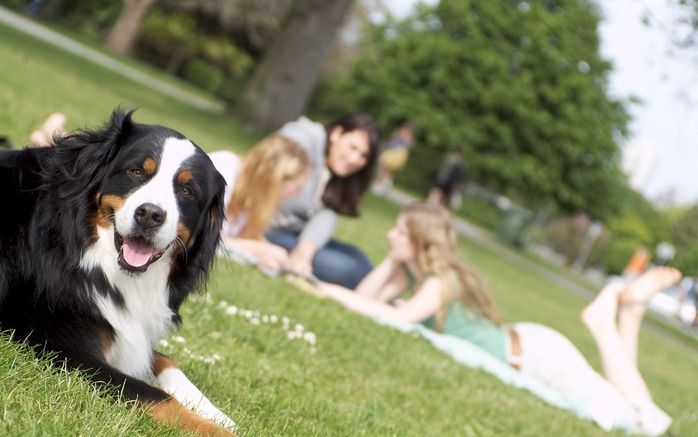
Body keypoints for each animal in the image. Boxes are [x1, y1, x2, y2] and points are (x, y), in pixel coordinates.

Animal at [0, 110, 237, 434]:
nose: (150, 214)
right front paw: (217, 428)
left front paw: (215, 411)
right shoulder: (60, 345)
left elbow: (165, 360)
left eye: (186, 191)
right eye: (136, 171)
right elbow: (156, 396)